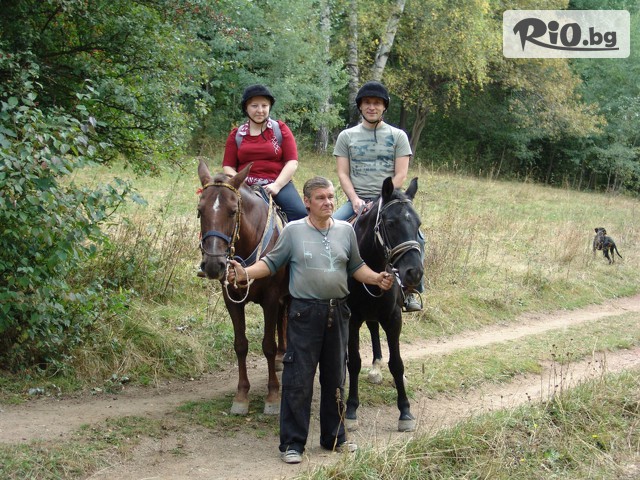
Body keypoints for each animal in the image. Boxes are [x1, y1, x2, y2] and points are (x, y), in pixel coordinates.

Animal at [197, 159, 288, 416]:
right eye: (200, 211)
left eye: (232, 211)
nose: (213, 264)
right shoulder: (231, 300)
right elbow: (240, 345)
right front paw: (241, 395)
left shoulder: (271, 298)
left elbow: (268, 345)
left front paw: (273, 396)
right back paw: (282, 358)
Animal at [345, 176, 423, 432]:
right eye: (390, 223)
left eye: (418, 224)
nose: (414, 273)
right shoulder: (351, 320)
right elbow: (354, 363)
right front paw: (351, 410)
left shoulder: (393, 318)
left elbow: (397, 363)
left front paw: (405, 412)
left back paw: (377, 365)